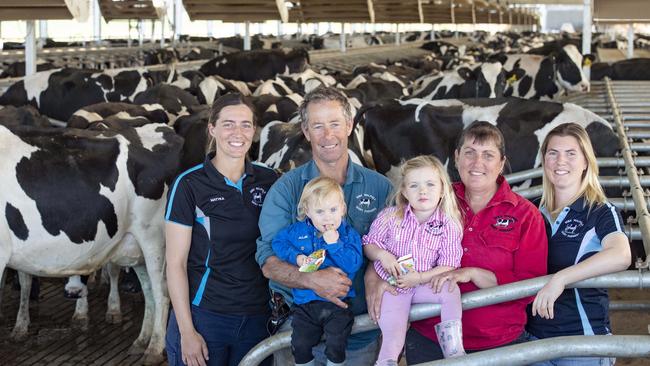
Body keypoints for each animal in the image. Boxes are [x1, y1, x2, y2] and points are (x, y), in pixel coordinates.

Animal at [0, 121, 182, 364]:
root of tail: (163, 129)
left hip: (154, 237)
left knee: (161, 290)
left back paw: (153, 349)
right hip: (136, 246)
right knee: (148, 290)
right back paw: (141, 341)